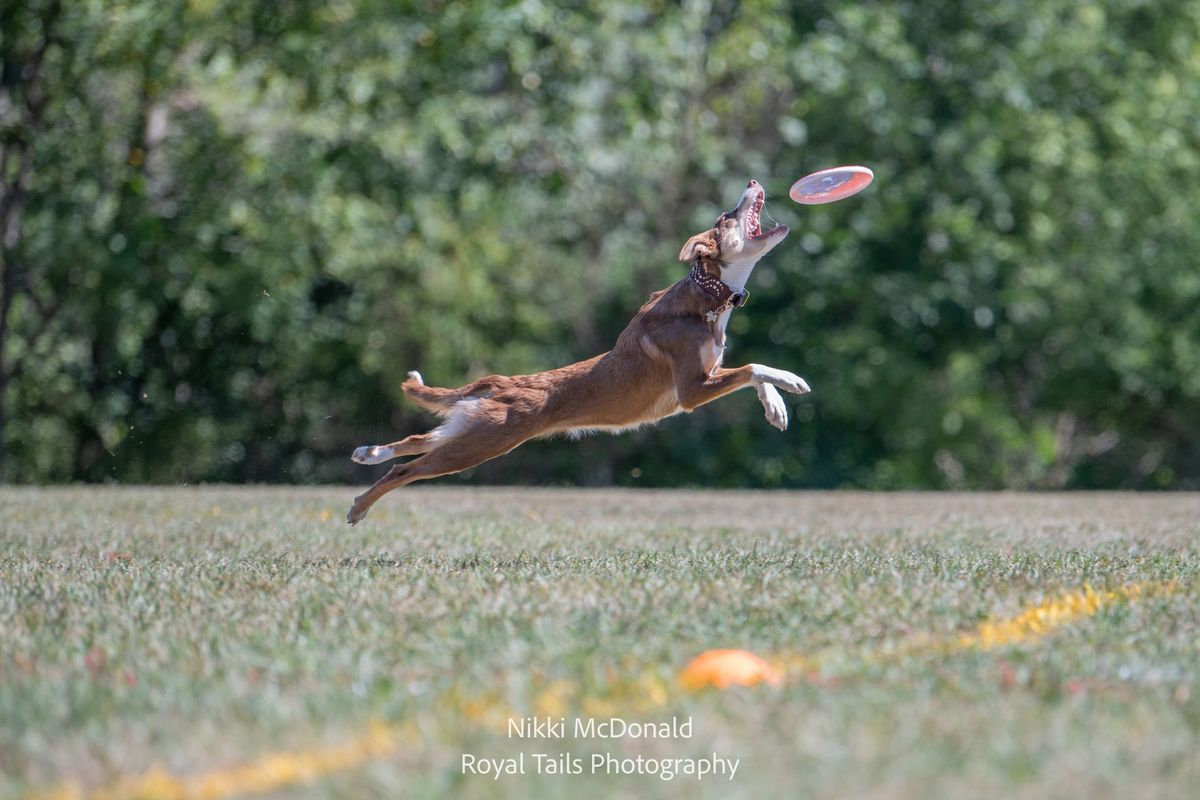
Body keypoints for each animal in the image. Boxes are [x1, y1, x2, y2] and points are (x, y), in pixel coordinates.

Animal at [350, 181, 811, 525]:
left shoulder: (709, 374)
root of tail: (500, 383)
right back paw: (359, 507)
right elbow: (753, 367)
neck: (708, 299)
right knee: (407, 468)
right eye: (727, 217)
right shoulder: (692, 391)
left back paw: (369, 452)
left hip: (473, 430)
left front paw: (776, 407)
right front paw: (791, 380)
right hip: (484, 442)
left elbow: (751, 375)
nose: (752, 181)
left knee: (417, 440)